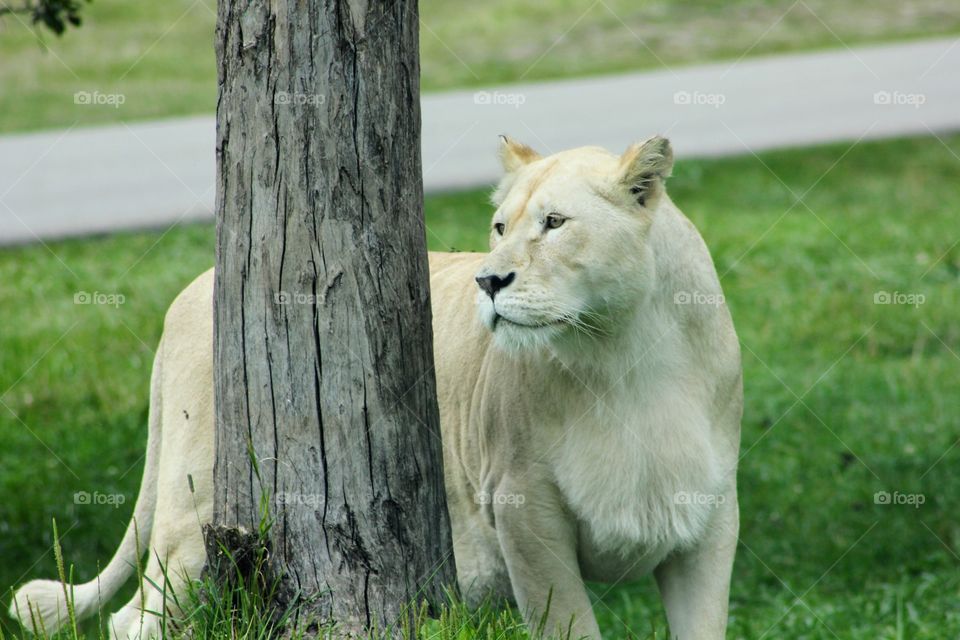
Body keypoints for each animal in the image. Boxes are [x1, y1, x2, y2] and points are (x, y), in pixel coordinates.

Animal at [9, 135, 741, 640]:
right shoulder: (524, 508)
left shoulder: (709, 515)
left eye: (555, 223)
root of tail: (190, 289)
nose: (488, 280)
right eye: (500, 227)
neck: (620, 351)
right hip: (193, 518)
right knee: (135, 619)